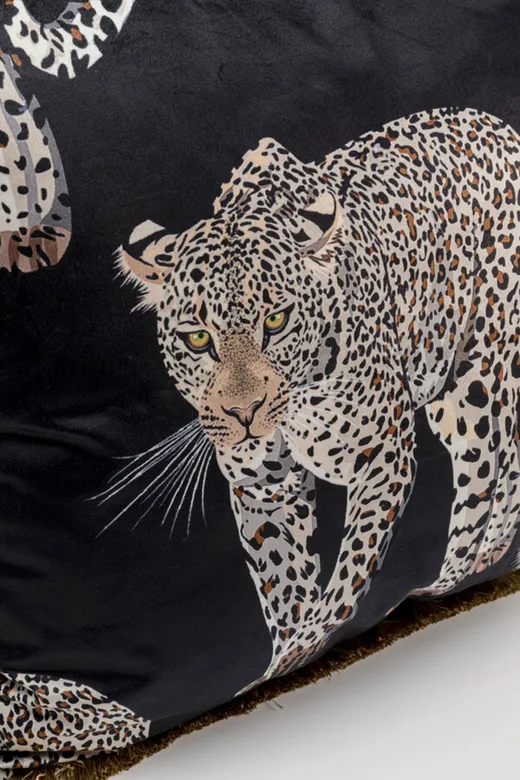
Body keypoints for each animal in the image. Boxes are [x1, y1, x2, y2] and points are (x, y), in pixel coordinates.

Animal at [115, 107, 520, 694]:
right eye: (198, 338)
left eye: (277, 320)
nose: (244, 414)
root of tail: (498, 123)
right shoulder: (265, 489)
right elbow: (285, 587)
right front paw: (287, 659)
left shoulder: (383, 457)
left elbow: (347, 577)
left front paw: (303, 647)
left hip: (476, 389)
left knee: (486, 479)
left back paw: (466, 566)